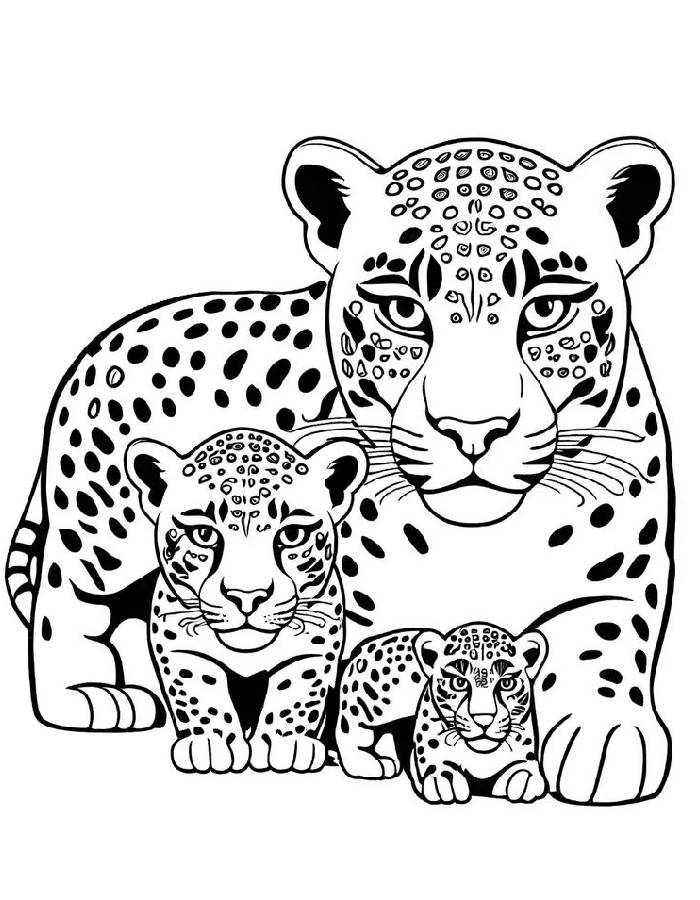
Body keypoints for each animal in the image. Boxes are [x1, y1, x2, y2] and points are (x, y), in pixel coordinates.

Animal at [124, 426, 366, 773]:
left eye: (292, 534)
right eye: (203, 535)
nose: (247, 597)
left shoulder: (314, 646)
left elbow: (298, 692)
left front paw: (286, 743)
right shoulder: (179, 645)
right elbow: (197, 691)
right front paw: (211, 743)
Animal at [336, 622, 548, 804]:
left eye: (506, 683)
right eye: (459, 683)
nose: (483, 719)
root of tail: (363, 648)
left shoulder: (524, 752)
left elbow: (525, 766)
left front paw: (523, 778)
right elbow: (436, 763)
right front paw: (445, 779)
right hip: (369, 706)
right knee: (350, 729)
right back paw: (371, 763)